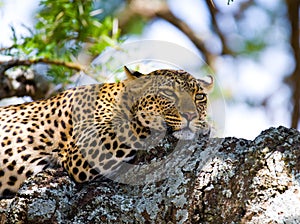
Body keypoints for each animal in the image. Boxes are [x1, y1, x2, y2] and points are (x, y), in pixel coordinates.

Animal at [0, 66, 213, 198]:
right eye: (168, 93)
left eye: (199, 96)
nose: (191, 115)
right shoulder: (84, 148)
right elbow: (136, 125)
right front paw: (204, 126)